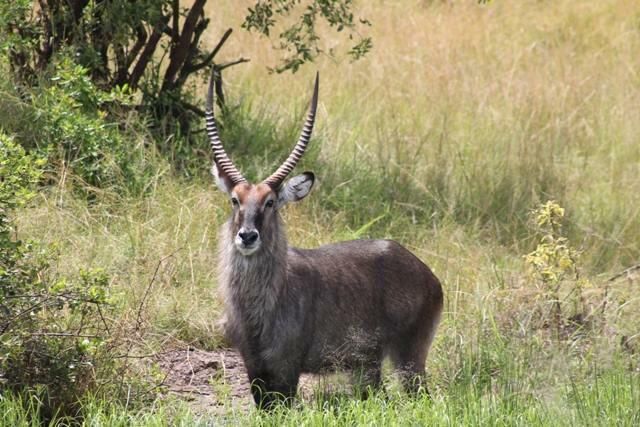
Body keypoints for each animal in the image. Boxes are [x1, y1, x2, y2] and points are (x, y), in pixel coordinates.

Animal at [208, 71, 442, 412]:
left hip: (410, 356)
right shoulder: (254, 366)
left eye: (270, 202)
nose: (248, 235)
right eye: (235, 200)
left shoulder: (286, 367)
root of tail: (426, 272)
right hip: (366, 366)